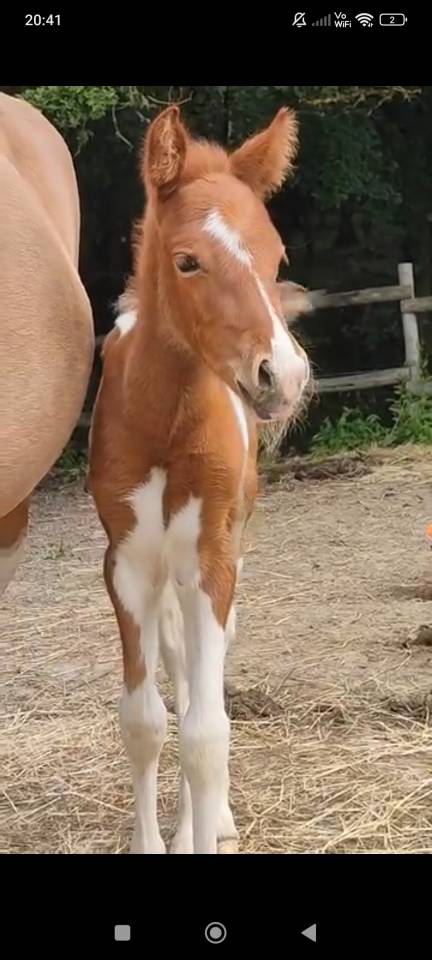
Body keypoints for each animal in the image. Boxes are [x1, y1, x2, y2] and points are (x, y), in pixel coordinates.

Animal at [89, 104, 311, 854]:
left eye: (276, 258)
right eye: (188, 261)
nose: (285, 377)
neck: (165, 424)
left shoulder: (213, 558)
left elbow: (207, 734)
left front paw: (206, 826)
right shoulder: (127, 565)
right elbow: (145, 722)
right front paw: (155, 841)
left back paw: (211, 821)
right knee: (178, 668)